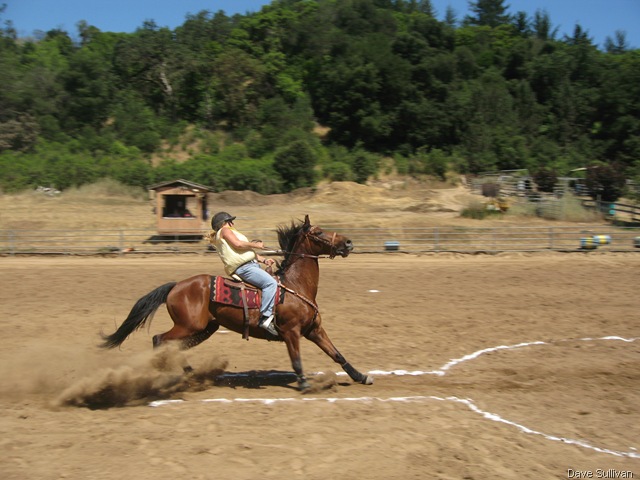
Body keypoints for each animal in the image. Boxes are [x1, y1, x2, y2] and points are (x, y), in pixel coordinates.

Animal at [100, 215, 373, 391]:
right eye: (317, 233)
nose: (348, 243)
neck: (295, 286)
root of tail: (176, 285)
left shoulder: (314, 330)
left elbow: (337, 354)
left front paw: (361, 376)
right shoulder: (291, 332)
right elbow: (296, 360)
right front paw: (305, 383)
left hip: (205, 329)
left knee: (173, 345)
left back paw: (192, 374)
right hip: (189, 326)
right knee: (160, 340)